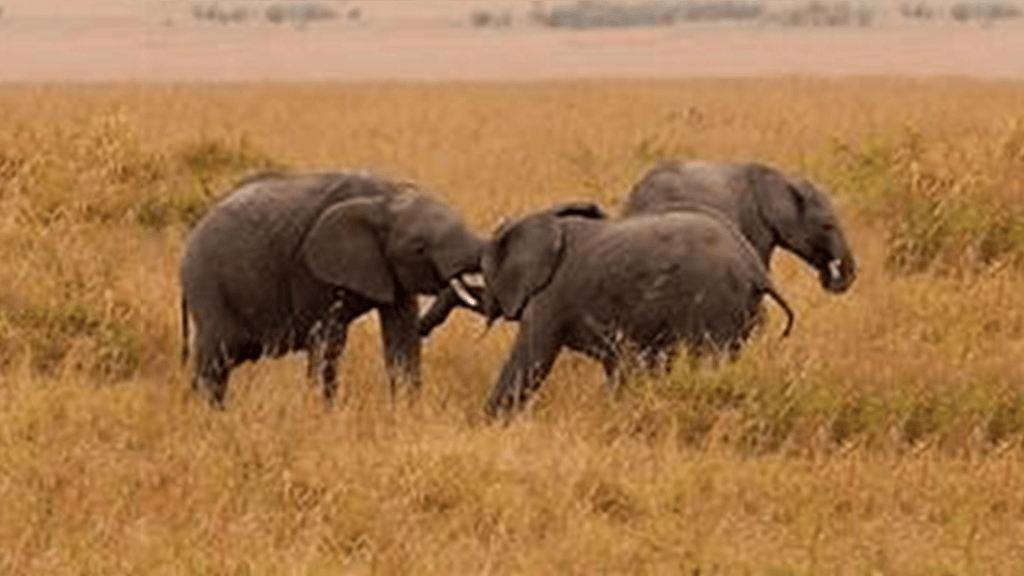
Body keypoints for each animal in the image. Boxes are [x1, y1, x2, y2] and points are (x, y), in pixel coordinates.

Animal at [179, 170, 484, 407]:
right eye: (419, 248)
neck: (385, 197)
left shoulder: (391, 272)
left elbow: (402, 338)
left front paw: (407, 415)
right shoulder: (311, 270)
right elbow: (327, 342)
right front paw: (323, 414)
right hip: (207, 287)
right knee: (214, 362)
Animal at [480, 202, 794, 418]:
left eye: (485, 269)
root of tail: (756, 269)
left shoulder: (550, 295)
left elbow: (530, 360)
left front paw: (490, 424)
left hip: (716, 301)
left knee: (709, 363)